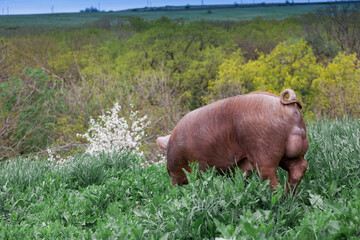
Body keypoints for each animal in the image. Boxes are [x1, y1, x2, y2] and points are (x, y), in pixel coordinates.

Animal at [158, 89, 310, 193]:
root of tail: (288, 106)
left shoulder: (177, 171)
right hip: (289, 153)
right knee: (300, 166)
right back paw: (288, 196)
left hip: (264, 150)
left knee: (272, 179)